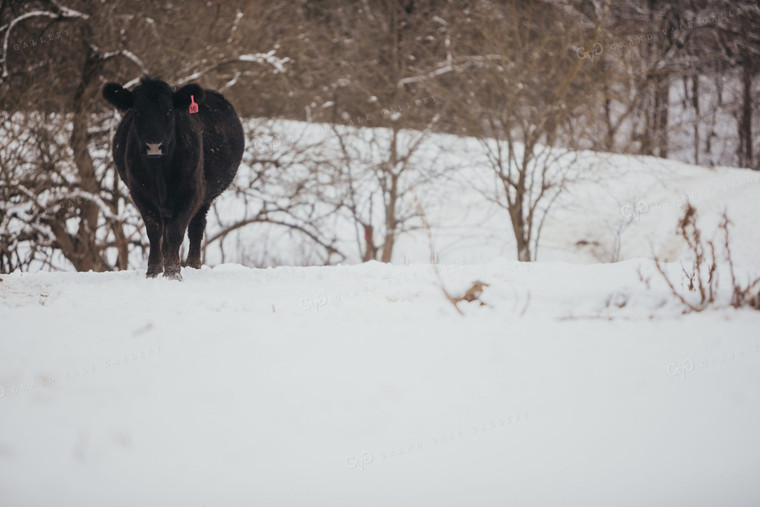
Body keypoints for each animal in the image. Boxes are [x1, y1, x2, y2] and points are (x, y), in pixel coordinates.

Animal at [101, 76, 243, 282]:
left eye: (169, 111)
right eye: (137, 110)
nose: (154, 146)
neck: (160, 170)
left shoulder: (190, 192)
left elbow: (176, 230)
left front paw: (173, 272)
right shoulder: (139, 192)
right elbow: (154, 230)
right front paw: (154, 271)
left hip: (205, 197)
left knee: (196, 227)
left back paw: (192, 265)